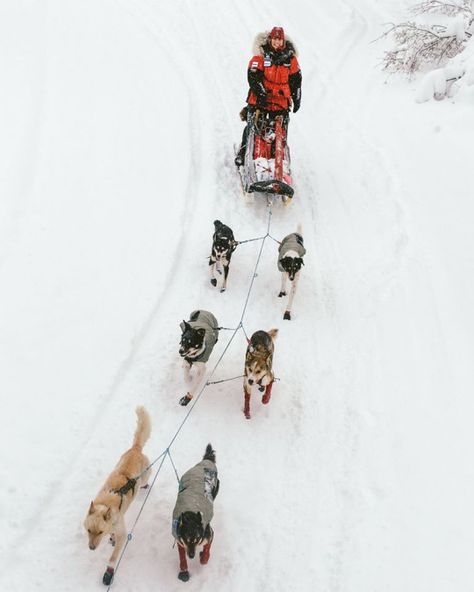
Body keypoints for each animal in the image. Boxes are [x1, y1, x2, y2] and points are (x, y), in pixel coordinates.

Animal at [84, 404, 151, 584]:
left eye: (99, 532)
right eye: (88, 530)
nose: (91, 548)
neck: (105, 505)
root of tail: (135, 449)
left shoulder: (123, 535)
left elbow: (113, 558)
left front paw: (109, 571)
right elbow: (113, 535)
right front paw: (111, 538)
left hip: (146, 474)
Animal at [172, 442, 220, 580]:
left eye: (197, 539)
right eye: (187, 540)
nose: (192, 555)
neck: (191, 514)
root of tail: (205, 461)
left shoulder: (209, 535)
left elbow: (207, 551)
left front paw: (204, 557)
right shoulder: (180, 541)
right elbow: (182, 557)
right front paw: (184, 570)